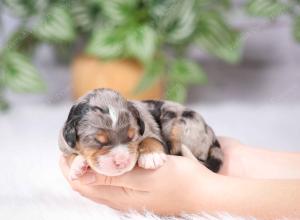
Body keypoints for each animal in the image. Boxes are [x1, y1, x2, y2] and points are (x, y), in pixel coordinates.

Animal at [58, 87, 223, 179]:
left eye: (132, 137)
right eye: (99, 141)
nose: (122, 161)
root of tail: (211, 133)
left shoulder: (151, 131)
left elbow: (150, 139)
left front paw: (152, 157)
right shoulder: (64, 144)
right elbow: (69, 155)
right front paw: (77, 165)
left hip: (179, 124)